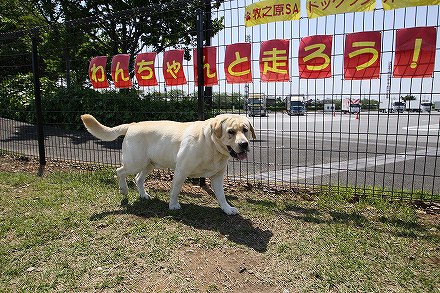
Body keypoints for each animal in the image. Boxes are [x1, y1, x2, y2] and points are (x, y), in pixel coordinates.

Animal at [81, 114, 256, 214]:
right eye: (231, 132)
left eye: (245, 130)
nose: (244, 144)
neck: (211, 144)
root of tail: (132, 124)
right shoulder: (181, 171)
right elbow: (175, 191)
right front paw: (173, 206)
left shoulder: (217, 176)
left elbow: (221, 196)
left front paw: (227, 209)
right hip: (135, 162)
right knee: (120, 171)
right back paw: (123, 190)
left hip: (149, 164)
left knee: (138, 178)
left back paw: (144, 195)